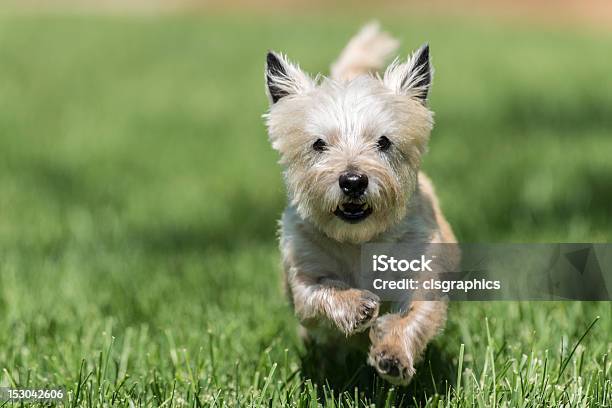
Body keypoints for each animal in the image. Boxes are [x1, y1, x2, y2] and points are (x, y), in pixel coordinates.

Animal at [262, 23, 454, 386]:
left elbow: (413, 314)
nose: (353, 181)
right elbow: (321, 292)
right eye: (319, 144)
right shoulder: (304, 276)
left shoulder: (420, 272)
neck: (359, 240)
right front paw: (357, 306)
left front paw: (392, 355)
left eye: (384, 142)